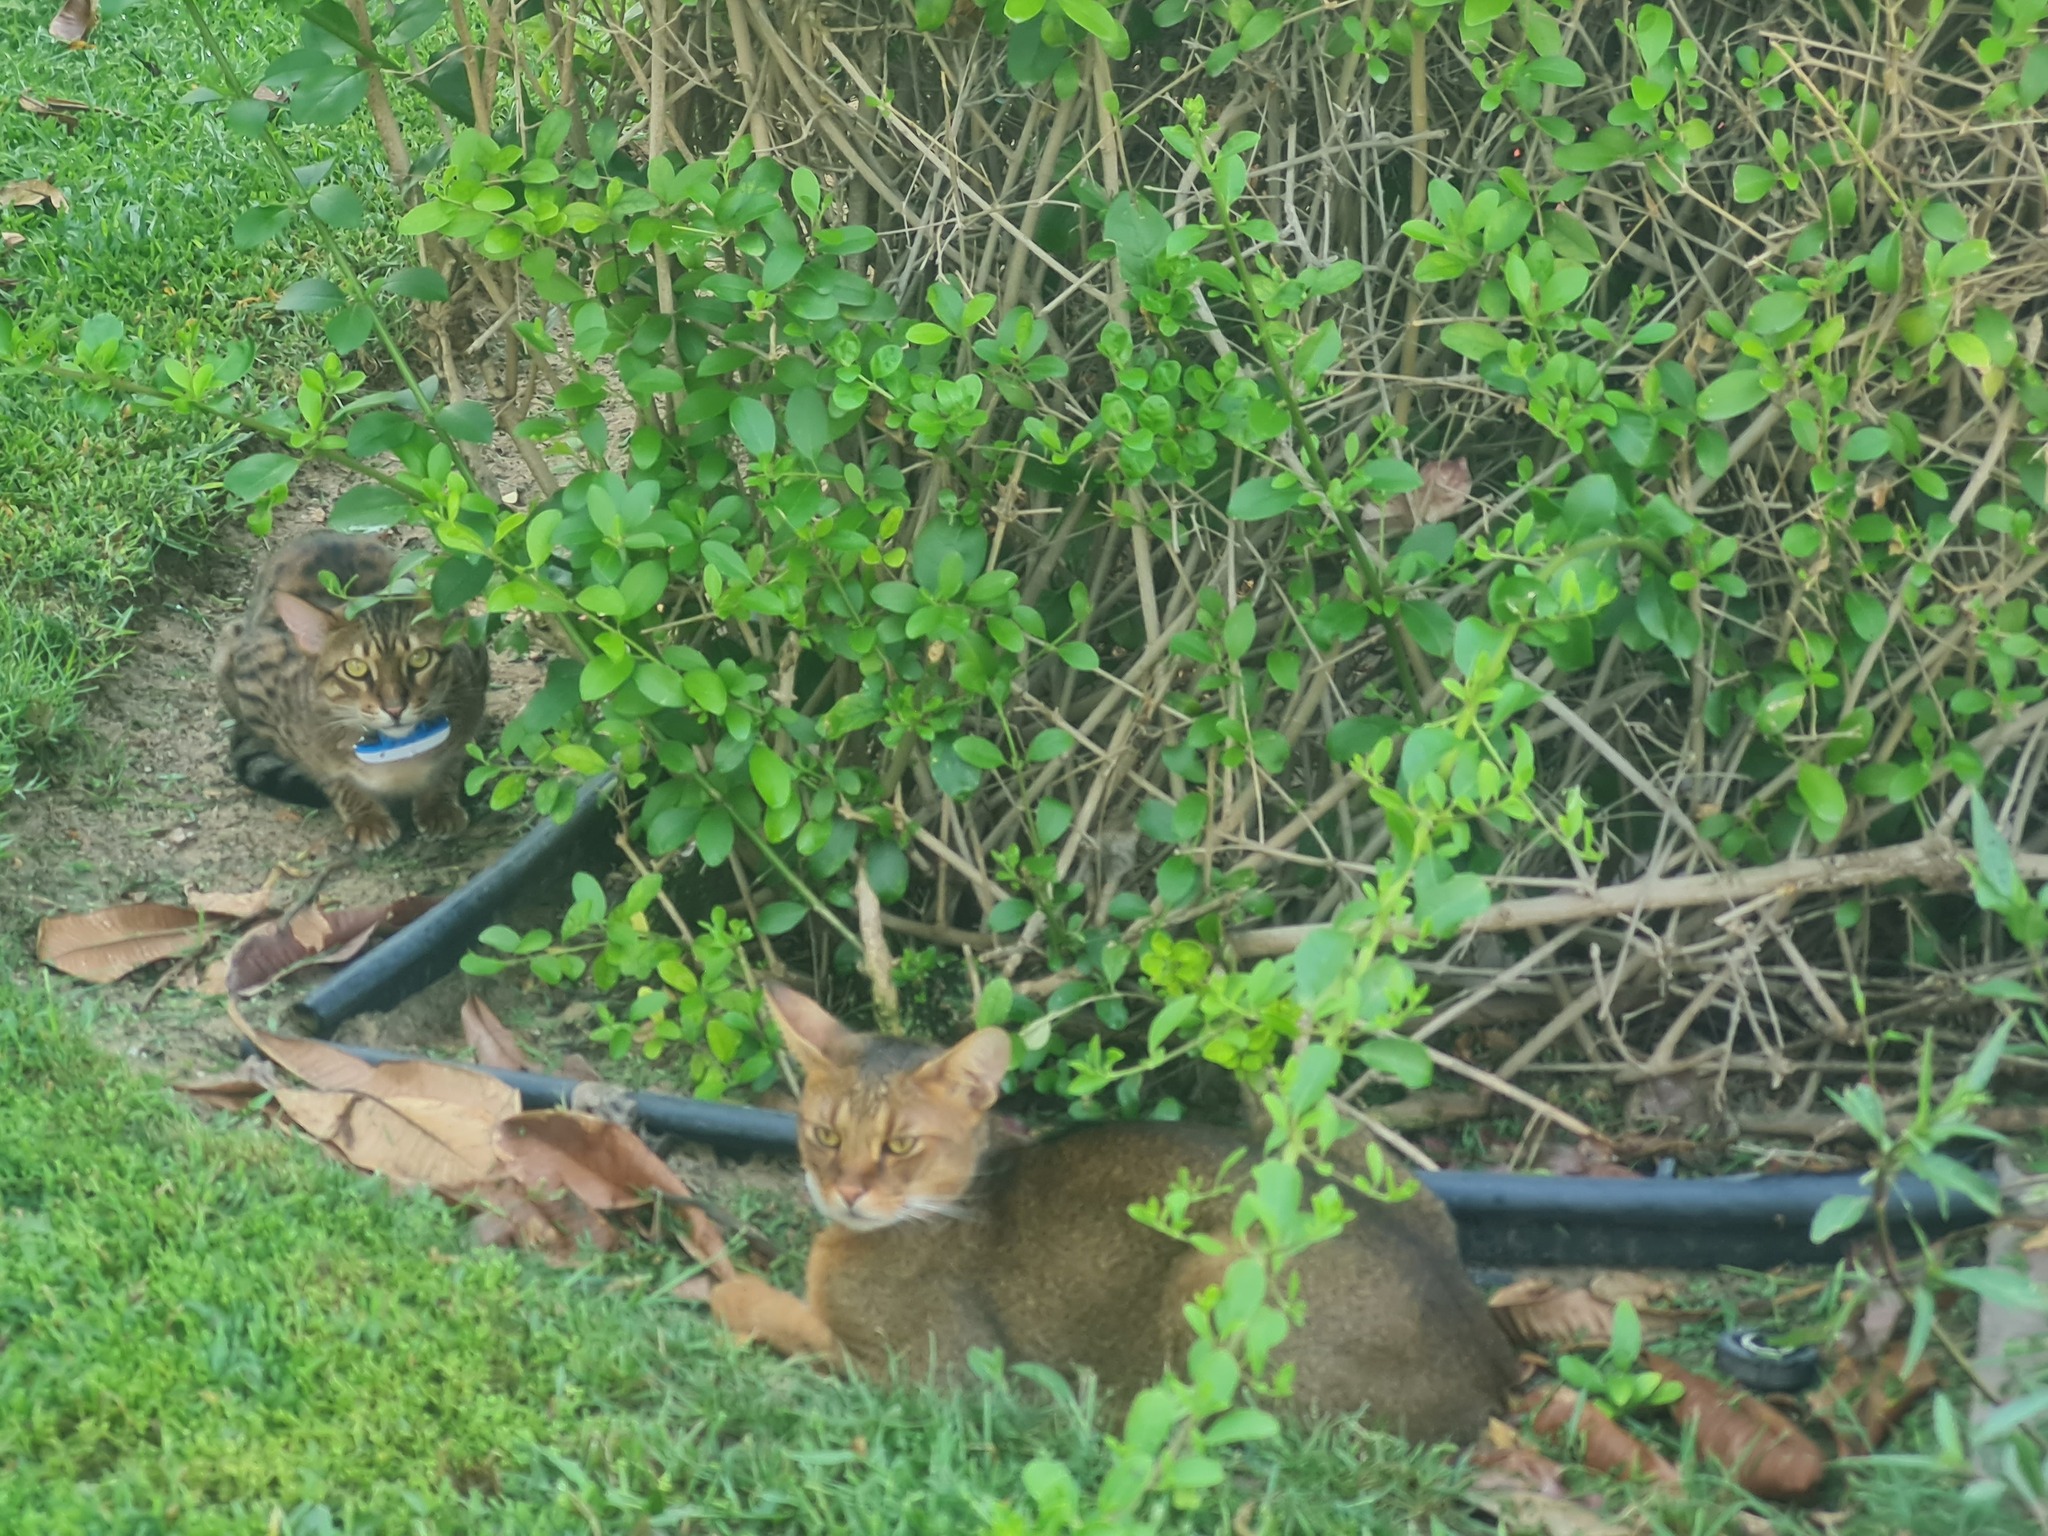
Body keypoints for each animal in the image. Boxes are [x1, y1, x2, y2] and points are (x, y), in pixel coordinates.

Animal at [214, 536, 489, 856]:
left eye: (420, 659)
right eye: (355, 668)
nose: (395, 708)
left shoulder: (474, 683)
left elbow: (453, 758)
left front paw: (438, 803)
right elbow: (332, 776)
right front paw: (366, 816)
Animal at [708, 991, 1523, 1449]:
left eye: (900, 1145)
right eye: (825, 1134)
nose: (845, 1191)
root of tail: (1491, 1368)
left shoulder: (935, 1375)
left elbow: (783, 1314)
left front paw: (727, 1289)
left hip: (1215, 1275)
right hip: (1379, 1173)